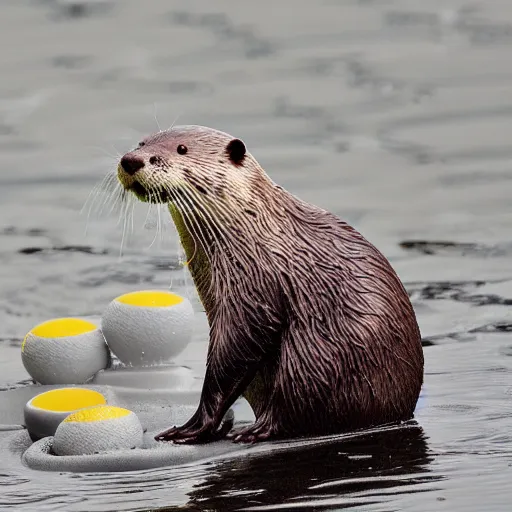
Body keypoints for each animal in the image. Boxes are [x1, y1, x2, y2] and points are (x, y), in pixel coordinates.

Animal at [116, 125, 424, 444]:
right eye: (141, 143)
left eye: (182, 149)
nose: (131, 160)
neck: (250, 232)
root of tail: (398, 411)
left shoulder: (255, 288)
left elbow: (238, 353)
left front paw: (191, 427)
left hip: (318, 360)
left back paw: (252, 430)